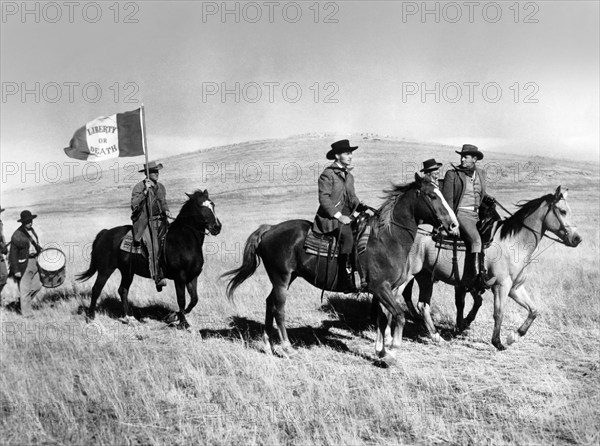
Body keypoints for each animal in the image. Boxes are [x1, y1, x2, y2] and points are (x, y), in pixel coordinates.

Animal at [77, 188, 221, 328]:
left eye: (212, 204)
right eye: (200, 206)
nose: (217, 227)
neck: (185, 240)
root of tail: (105, 233)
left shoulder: (193, 276)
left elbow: (194, 300)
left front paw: (174, 316)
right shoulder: (180, 277)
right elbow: (182, 300)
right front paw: (182, 323)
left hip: (127, 272)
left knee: (123, 290)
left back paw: (130, 318)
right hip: (105, 269)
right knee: (96, 289)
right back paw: (91, 317)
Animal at [221, 172, 460, 360]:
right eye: (432, 195)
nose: (453, 225)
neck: (387, 239)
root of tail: (269, 229)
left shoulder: (386, 289)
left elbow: (384, 318)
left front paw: (381, 350)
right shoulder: (380, 287)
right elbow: (399, 315)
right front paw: (391, 352)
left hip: (285, 278)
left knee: (269, 303)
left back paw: (269, 345)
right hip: (281, 278)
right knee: (279, 309)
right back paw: (288, 348)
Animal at [380, 185, 580, 356]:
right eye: (563, 211)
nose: (577, 239)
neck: (512, 242)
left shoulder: (515, 288)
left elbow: (533, 310)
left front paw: (513, 336)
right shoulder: (501, 287)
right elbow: (499, 313)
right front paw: (498, 342)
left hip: (425, 277)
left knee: (422, 305)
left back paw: (436, 337)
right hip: (406, 277)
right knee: (392, 301)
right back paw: (389, 337)